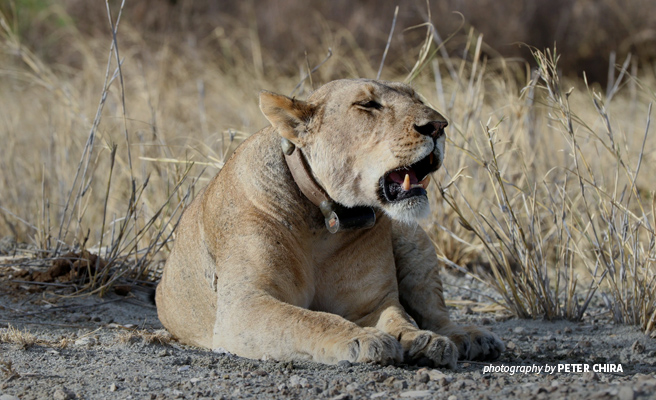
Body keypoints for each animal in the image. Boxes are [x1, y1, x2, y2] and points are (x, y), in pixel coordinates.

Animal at [156, 77, 504, 366]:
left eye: (416, 98)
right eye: (368, 104)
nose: (438, 125)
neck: (325, 222)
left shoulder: (372, 303)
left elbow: (400, 318)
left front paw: (420, 339)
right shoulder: (245, 305)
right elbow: (310, 320)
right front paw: (363, 338)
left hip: (414, 238)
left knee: (436, 311)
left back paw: (466, 337)